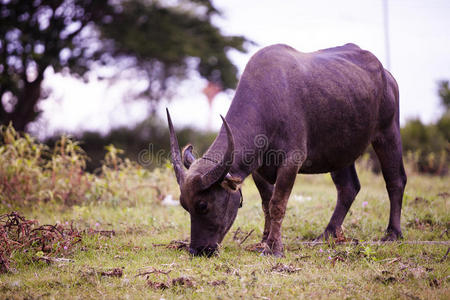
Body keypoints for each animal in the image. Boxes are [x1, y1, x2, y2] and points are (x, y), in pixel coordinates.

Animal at [167, 43, 406, 256]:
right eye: (184, 205)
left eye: (203, 205)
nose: (198, 250)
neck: (268, 104)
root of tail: (387, 76)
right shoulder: (258, 169)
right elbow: (266, 203)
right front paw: (264, 241)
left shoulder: (291, 162)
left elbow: (277, 204)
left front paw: (274, 248)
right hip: (340, 151)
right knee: (348, 188)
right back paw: (327, 234)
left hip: (388, 133)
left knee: (395, 180)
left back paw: (392, 233)